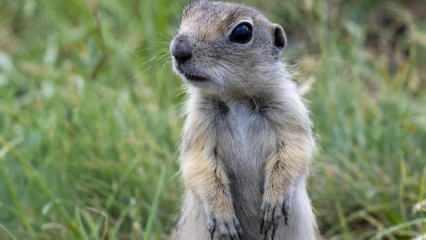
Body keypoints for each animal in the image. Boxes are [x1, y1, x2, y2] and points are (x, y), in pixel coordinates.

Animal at [168, 0, 318, 239]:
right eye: (186, 13)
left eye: (242, 32)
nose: (178, 49)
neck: (236, 98)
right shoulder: (198, 124)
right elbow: (200, 164)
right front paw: (223, 218)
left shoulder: (289, 111)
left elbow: (294, 150)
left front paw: (274, 202)